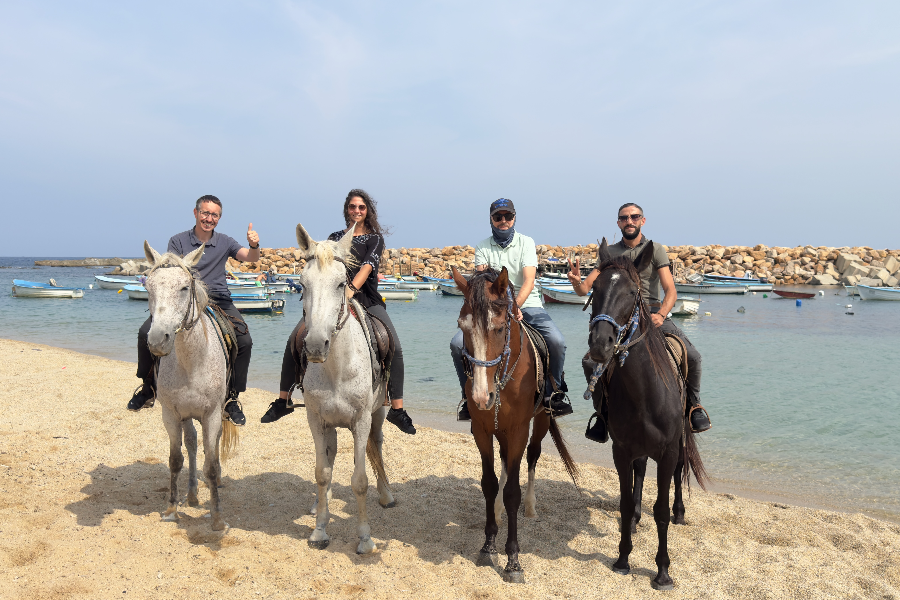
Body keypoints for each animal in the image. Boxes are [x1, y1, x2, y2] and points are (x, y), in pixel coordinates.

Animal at [142, 241, 239, 532]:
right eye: (148, 288)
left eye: (185, 287)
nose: (157, 340)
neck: (192, 362)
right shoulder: (172, 415)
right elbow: (176, 460)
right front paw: (172, 509)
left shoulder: (213, 415)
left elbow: (212, 464)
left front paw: (217, 518)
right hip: (186, 416)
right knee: (193, 444)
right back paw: (193, 494)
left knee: (210, 449)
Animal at [296, 224, 394, 552]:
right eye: (301, 284)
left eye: (341, 284)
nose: (315, 345)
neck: (337, 369)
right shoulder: (316, 420)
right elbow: (322, 473)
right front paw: (319, 530)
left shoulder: (361, 420)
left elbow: (360, 480)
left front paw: (364, 538)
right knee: (331, 454)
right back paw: (319, 504)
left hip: (379, 413)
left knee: (376, 444)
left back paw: (386, 495)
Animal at [454, 268, 580, 584]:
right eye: (462, 326)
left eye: (500, 328)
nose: (481, 396)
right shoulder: (482, 430)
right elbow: (489, 483)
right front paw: (488, 545)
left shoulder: (519, 430)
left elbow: (513, 491)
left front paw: (512, 561)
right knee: (504, 463)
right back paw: (498, 510)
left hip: (541, 421)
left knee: (533, 457)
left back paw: (531, 507)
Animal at [588, 239, 708, 592]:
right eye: (595, 288)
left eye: (632, 292)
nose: (600, 344)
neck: (645, 391)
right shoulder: (621, 449)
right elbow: (626, 502)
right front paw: (622, 559)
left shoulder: (667, 451)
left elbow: (662, 509)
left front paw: (663, 571)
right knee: (640, 473)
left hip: (681, 437)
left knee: (680, 471)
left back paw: (680, 511)